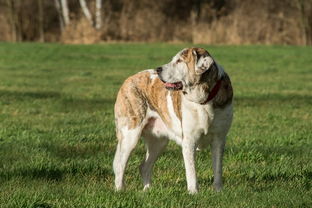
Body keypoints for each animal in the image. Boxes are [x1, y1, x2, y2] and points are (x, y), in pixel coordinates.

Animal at [113, 47, 233, 193]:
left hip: (158, 142)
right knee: (120, 164)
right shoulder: (189, 141)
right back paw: (120, 190)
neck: (204, 100)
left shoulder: (219, 139)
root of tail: (128, 79)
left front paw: (218, 191)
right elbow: (191, 172)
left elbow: (218, 169)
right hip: (130, 135)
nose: (158, 69)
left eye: (179, 61)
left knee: (144, 166)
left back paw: (148, 190)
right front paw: (194, 193)